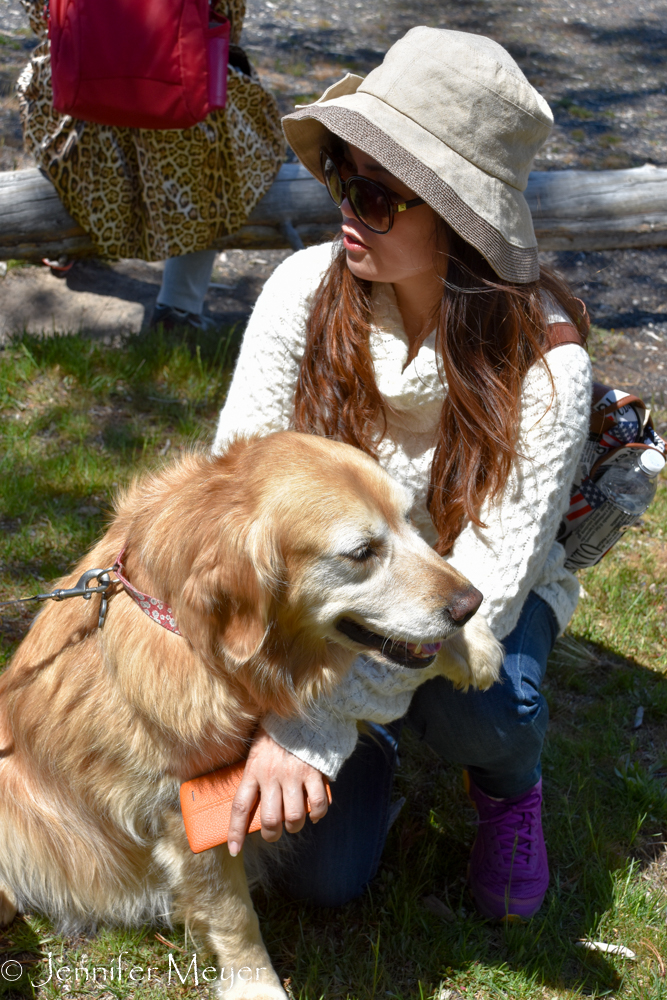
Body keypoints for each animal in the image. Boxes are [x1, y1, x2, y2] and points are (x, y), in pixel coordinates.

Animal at [0, 432, 500, 1000]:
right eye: (361, 553)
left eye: (410, 519)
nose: (471, 603)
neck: (200, 642)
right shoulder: (185, 817)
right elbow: (234, 916)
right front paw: (256, 985)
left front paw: (475, 643)